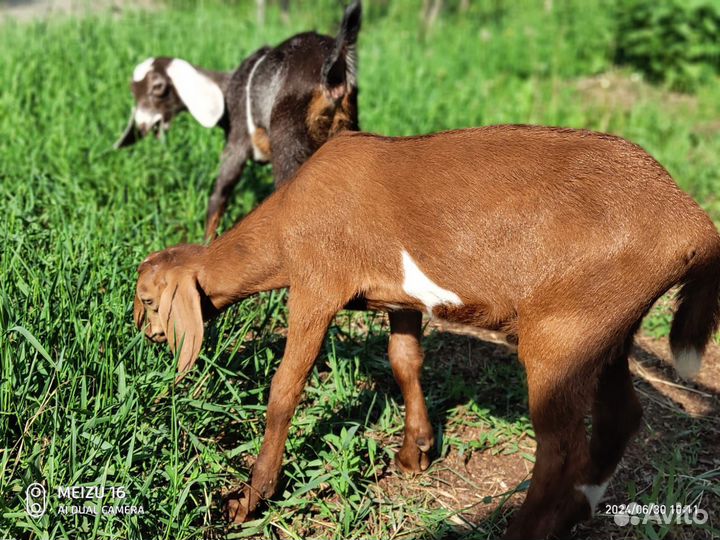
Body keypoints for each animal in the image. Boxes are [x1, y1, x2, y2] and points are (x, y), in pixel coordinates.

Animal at [132, 126, 716, 540]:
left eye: (147, 300)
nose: (149, 338)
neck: (286, 219)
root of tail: (693, 223)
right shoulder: (400, 299)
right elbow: (404, 358)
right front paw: (416, 451)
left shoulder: (317, 284)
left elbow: (286, 388)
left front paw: (249, 498)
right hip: (608, 327)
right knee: (620, 416)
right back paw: (577, 511)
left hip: (564, 334)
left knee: (561, 453)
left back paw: (522, 531)